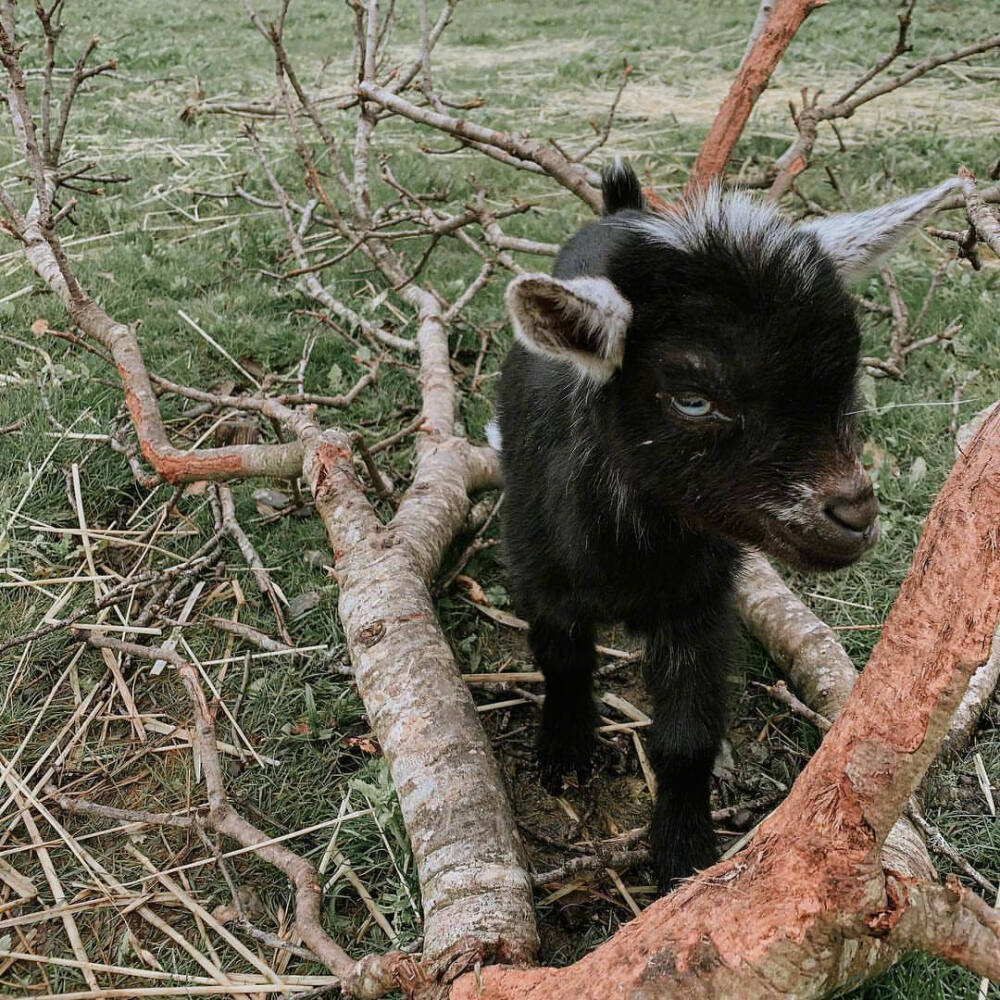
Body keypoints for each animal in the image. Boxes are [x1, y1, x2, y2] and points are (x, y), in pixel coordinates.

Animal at [492, 162, 952, 892]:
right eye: (693, 399)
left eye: (846, 381)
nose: (854, 515)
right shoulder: (538, 574)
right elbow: (562, 658)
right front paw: (565, 751)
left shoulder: (700, 602)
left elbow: (688, 736)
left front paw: (685, 855)